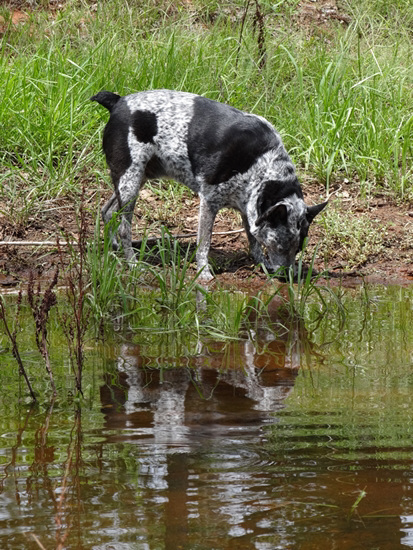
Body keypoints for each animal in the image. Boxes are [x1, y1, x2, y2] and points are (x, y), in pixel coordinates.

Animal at [91, 91, 326, 282]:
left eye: (299, 248)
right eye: (281, 246)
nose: (290, 277)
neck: (264, 163)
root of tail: (118, 101)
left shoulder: (247, 206)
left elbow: (254, 242)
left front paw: (262, 263)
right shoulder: (209, 202)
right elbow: (204, 244)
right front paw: (203, 273)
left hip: (135, 180)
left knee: (107, 211)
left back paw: (114, 248)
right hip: (130, 181)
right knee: (124, 229)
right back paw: (132, 263)